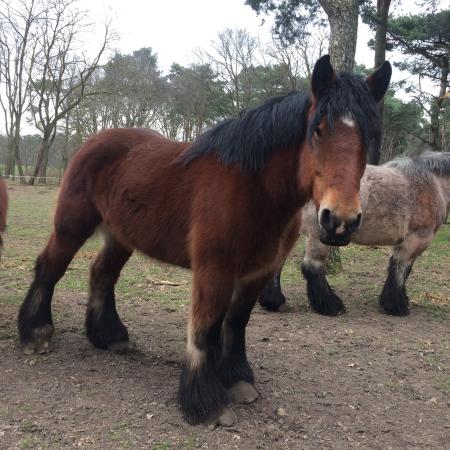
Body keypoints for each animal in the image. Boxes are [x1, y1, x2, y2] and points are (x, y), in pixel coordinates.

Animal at [17, 56, 390, 426]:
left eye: (370, 134)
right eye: (318, 129)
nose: (339, 220)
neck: (254, 188)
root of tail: (94, 141)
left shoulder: (257, 272)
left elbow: (236, 323)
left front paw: (237, 379)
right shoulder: (214, 270)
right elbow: (206, 329)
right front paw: (206, 402)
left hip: (121, 237)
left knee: (102, 274)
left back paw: (110, 337)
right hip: (72, 226)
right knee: (50, 267)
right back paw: (36, 334)